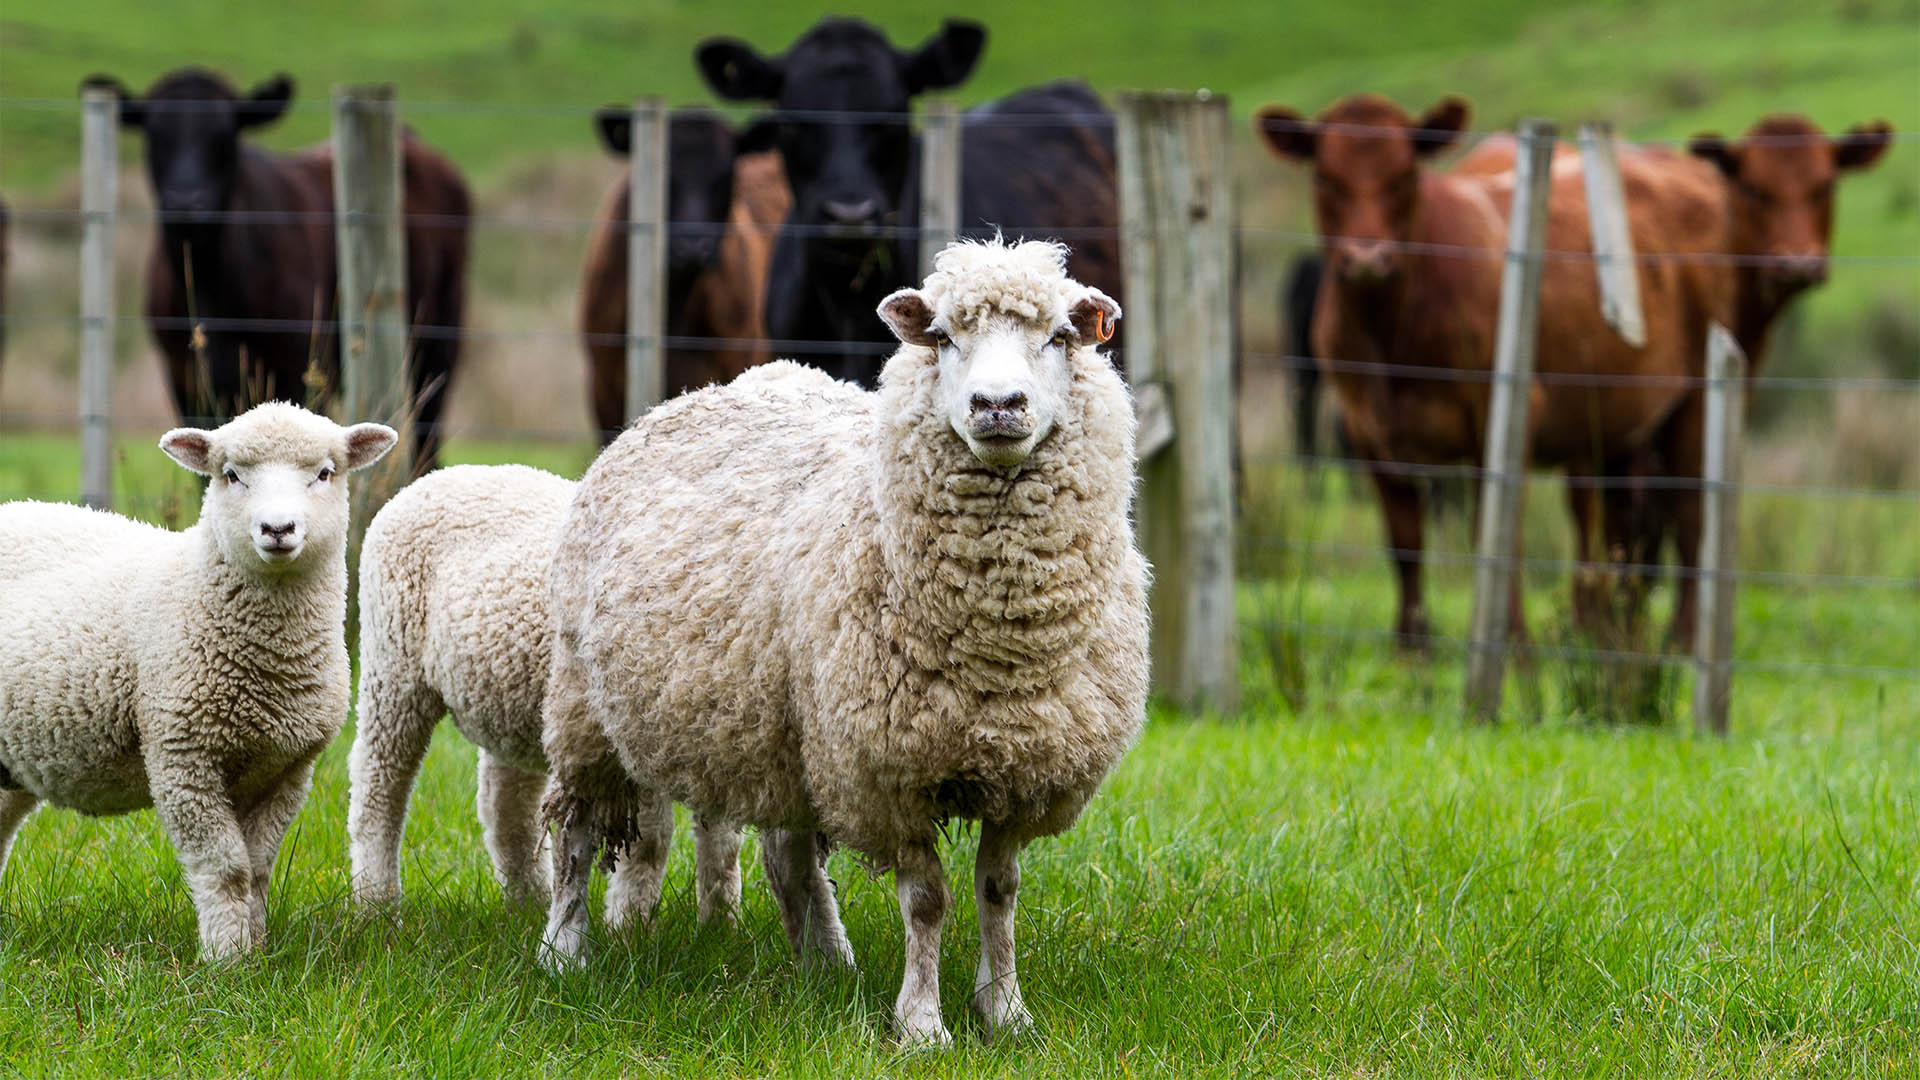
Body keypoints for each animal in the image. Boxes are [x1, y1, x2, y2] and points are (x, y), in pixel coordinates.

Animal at [0, 402, 395, 960]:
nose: (277, 528)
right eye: (230, 475)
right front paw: (225, 960)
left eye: (324, 473)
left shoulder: (287, 770)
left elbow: (257, 870)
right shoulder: (183, 759)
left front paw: (255, 953)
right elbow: (226, 869)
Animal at [82, 68, 471, 473]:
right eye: (154, 134)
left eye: (226, 134)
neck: (209, 283)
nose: (186, 203)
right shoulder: (184, 378)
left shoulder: (298, 366)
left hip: (437, 344)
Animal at [346, 463, 743, 925]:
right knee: (379, 787)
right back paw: (376, 905)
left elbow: (723, 845)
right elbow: (650, 841)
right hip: (393, 667)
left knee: (505, 809)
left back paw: (529, 904)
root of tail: (436, 477)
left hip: (510, 698)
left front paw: (721, 925)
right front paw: (630, 926)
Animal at [539, 238, 1150, 1045]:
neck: (999, 648)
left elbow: (999, 890)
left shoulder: (1022, 768)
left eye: (1058, 337)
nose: (997, 406)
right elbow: (927, 900)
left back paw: (827, 962)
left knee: (790, 853)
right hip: (586, 704)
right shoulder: (888, 770)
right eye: (943, 338)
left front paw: (1005, 1012)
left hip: (784, 729)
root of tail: (693, 394)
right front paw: (923, 1025)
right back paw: (563, 950)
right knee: (577, 831)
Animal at [1253, 93, 1730, 649]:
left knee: (1689, 521)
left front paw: (1513, 647)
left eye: (1404, 175)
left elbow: (1498, 540)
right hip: (1617, 420)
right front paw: (1412, 651)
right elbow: (1405, 546)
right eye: (1325, 178)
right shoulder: (1365, 431)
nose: (1367, 259)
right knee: (1621, 524)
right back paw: (1613, 636)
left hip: (1696, 399)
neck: (1392, 336)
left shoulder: (1501, 423)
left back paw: (1679, 641)